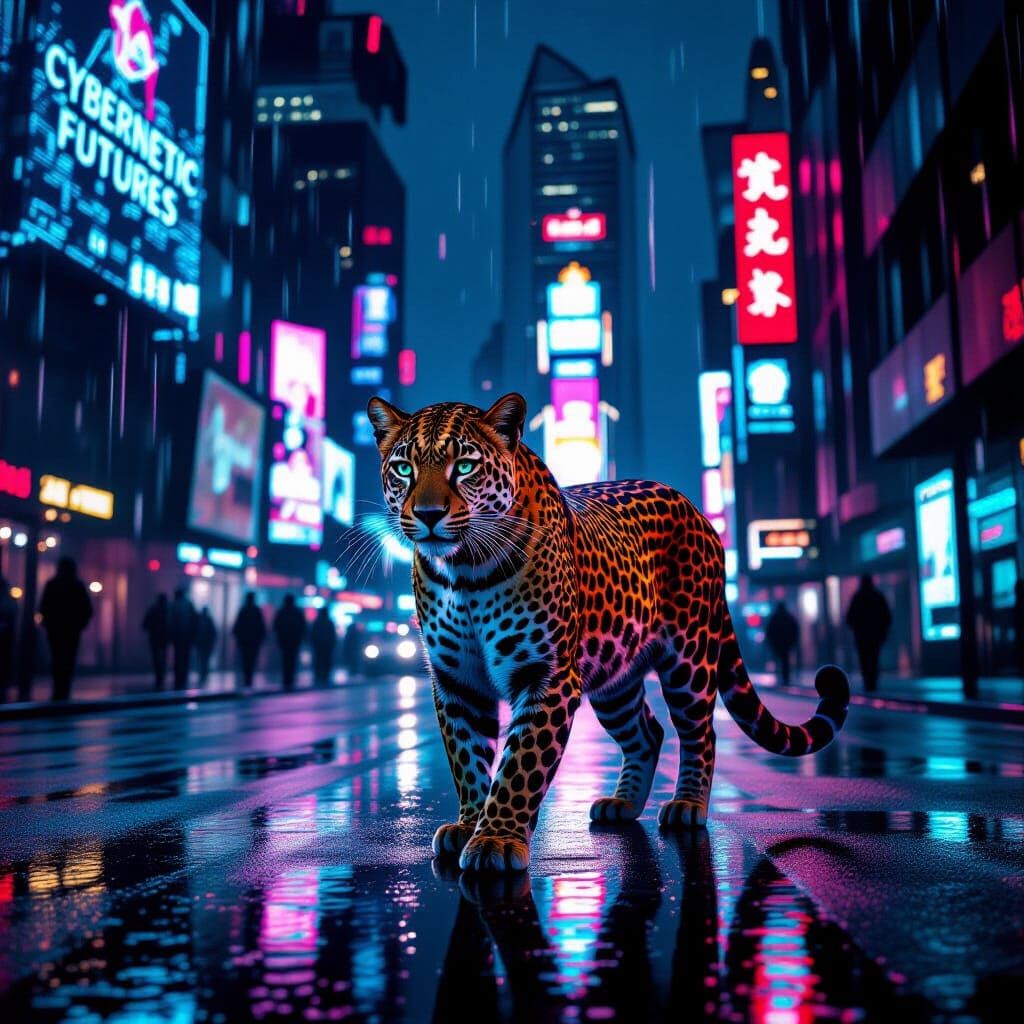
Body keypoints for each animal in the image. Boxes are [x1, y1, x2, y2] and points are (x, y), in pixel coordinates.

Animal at [367, 392, 850, 873]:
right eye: (404, 469)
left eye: (465, 466)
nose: (429, 515)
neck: (463, 570)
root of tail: (695, 511)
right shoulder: (456, 681)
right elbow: (467, 758)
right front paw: (470, 824)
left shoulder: (546, 675)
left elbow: (519, 766)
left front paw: (496, 839)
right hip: (614, 677)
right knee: (648, 733)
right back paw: (623, 803)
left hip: (690, 660)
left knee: (699, 732)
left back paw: (688, 805)